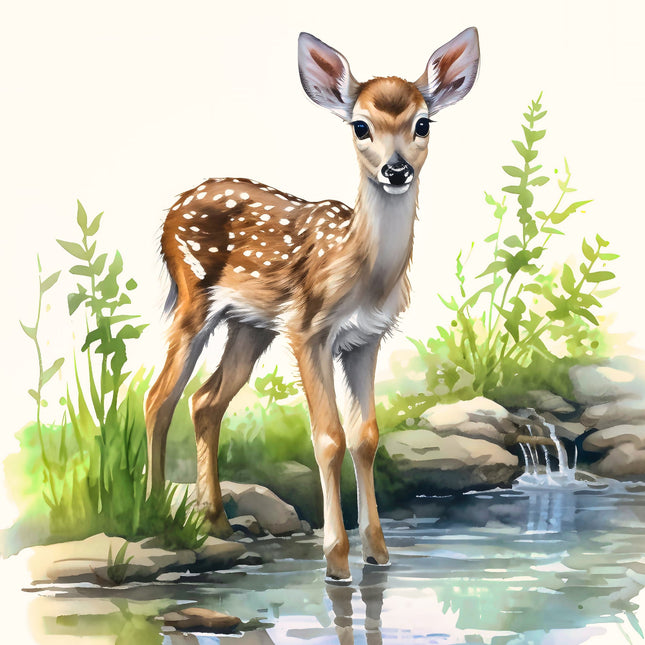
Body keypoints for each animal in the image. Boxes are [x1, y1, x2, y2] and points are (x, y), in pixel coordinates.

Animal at [145, 28, 480, 581]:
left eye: (423, 123)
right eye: (360, 125)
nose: (396, 169)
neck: (363, 276)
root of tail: (173, 209)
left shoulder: (367, 339)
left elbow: (366, 435)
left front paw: (379, 554)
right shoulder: (308, 330)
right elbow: (328, 437)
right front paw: (336, 561)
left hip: (251, 325)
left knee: (205, 400)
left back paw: (216, 521)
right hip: (194, 297)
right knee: (159, 397)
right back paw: (155, 514)